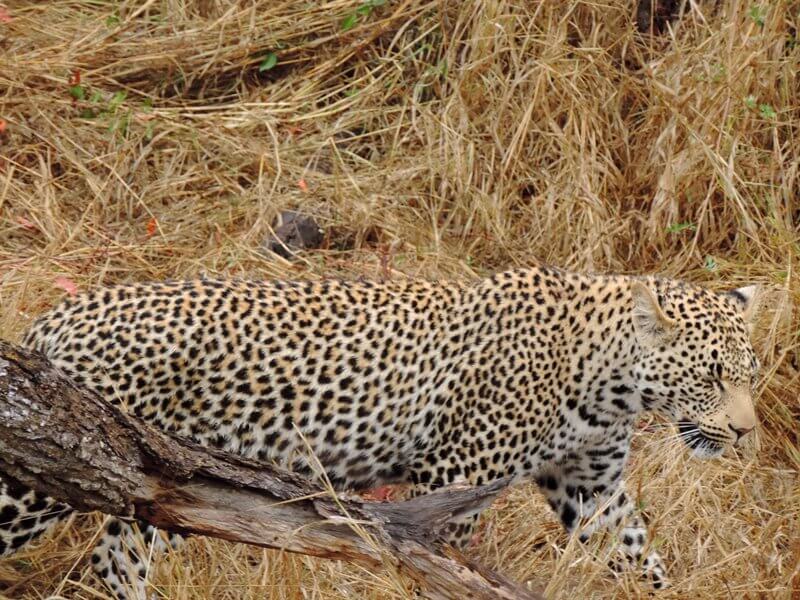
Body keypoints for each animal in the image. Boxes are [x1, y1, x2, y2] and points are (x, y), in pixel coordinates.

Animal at [0, 266, 761, 598]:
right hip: (46, 476)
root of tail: (53, 321)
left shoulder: (593, 489)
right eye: (713, 375)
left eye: (752, 374)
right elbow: (440, 569)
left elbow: (638, 559)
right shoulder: (453, 479)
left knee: (118, 558)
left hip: (162, 480)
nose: (748, 433)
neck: (612, 382)